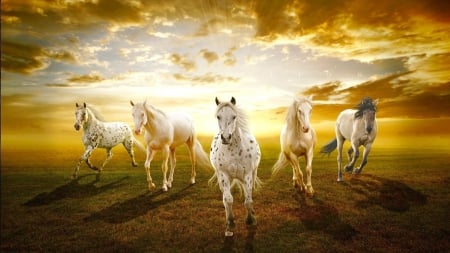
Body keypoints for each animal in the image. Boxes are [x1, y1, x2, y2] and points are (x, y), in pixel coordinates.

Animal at [210, 97, 262, 237]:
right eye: (218, 116)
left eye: (234, 116)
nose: (225, 138)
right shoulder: (224, 175)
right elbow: (228, 199)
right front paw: (230, 224)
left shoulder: (247, 174)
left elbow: (248, 200)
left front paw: (251, 220)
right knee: (225, 198)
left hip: (251, 175)